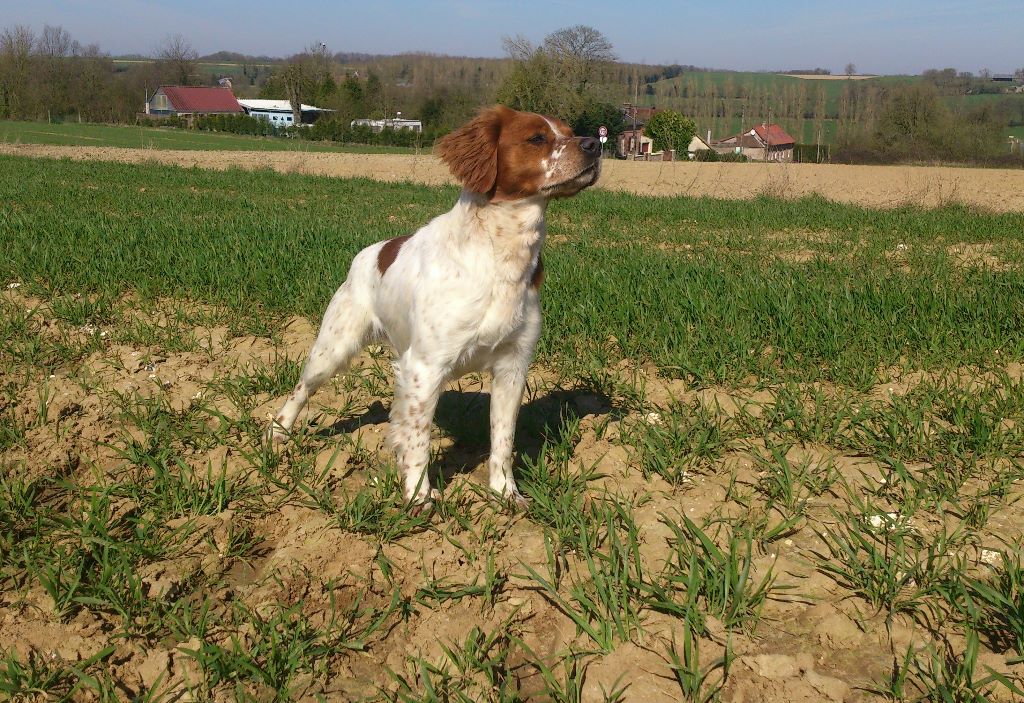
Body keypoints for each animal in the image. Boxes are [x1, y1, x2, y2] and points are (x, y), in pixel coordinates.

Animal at [268, 104, 602, 511]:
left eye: (569, 131)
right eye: (537, 137)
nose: (595, 144)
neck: (500, 255)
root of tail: (368, 252)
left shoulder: (513, 366)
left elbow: (503, 439)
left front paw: (505, 492)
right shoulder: (426, 367)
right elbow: (419, 441)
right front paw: (418, 497)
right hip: (332, 349)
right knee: (301, 389)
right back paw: (278, 432)